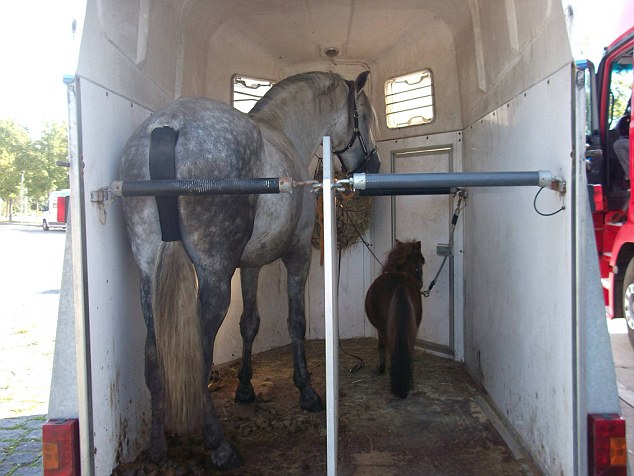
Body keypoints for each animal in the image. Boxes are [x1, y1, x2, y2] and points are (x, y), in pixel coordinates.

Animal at [120, 70, 378, 468]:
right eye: (363, 116)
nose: (373, 167)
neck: (285, 133)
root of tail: (168, 126)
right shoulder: (297, 254)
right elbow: (296, 322)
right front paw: (307, 391)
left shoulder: (250, 265)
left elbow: (250, 323)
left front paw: (244, 387)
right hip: (213, 278)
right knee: (198, 355)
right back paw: (219, 446)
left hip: (149, 277)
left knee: (153, 355)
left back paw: (158, 448)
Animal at [362, 238, 422, 398]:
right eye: (420, 263)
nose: (420, 284)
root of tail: (399, 285)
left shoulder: (379, 329)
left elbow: (381, 346)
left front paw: (380, 369)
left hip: (385, 329)